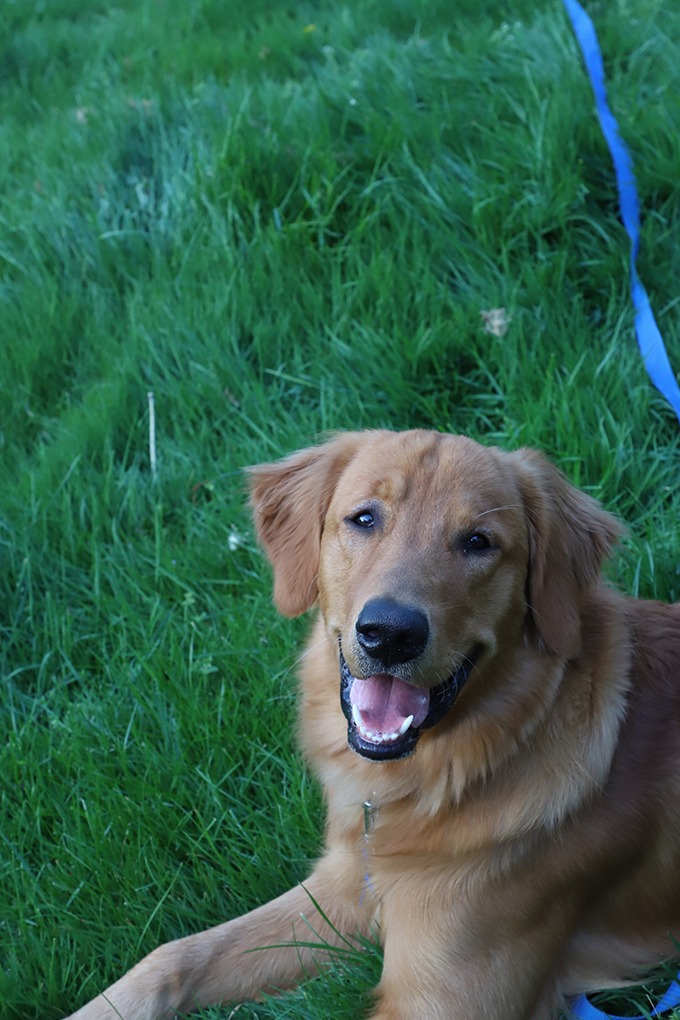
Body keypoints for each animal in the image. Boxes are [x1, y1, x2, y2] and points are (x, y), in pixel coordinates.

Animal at [65, 430, 680, 1020]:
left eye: (478, 541)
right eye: (364, 518)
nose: (390, 633)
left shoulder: (445, 1001)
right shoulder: (345, 891)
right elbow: (171, 957)